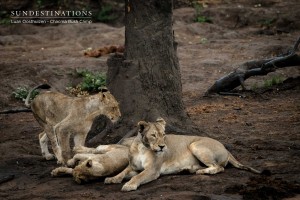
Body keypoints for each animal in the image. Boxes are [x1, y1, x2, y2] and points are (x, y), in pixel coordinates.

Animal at [104, 118, 262, 191]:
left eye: (164, 134)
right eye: (153, 135)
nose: (162, 146)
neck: (142, 147)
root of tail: (226, 148)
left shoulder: (152, 170)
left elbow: (138, 177)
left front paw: (129, 185)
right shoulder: (133, 167)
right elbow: (123, 172)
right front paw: (112, 179)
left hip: (195, 144)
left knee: (219, 167)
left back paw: (202, 172)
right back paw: (188, 169)